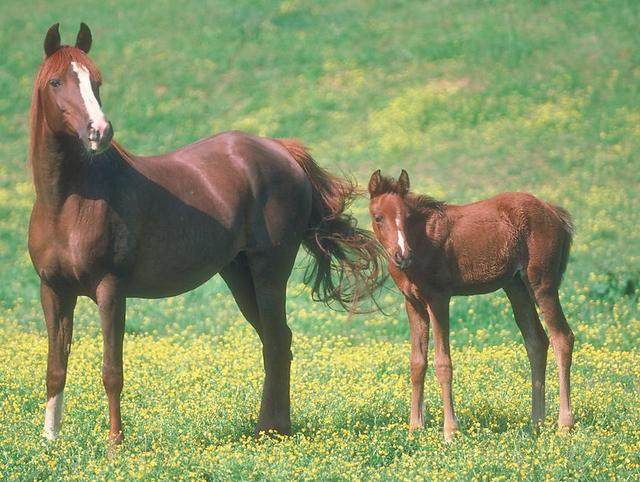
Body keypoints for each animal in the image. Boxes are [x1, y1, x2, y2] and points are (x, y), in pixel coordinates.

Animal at [27, 22, 382, 444]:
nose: (99, 131)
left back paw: (271, 430)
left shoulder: (110, 290)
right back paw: (270, 428)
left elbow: (111, 371)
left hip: (269, 270)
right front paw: (50, 442)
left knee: (277, 341)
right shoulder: (54, 290)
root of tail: (280, 150)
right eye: (56, 81)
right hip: (238, 274)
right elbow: (55, 368)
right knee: (275, 340)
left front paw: (115, 443)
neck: (71, 201)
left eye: (96, 81)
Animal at [368, 169, 576, 440]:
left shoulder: (439, 299)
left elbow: (443, 363)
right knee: (536, 341)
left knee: (562, 338)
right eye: (378, 217)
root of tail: (554, 211)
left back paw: (564, 424)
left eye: (407, 216)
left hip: (542, 285)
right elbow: (417, 363)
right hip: (517, 287)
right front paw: (415, 428)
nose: (402, 256)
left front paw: (450, 432)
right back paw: (536, 422)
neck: (422, 241)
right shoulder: (413, 303)